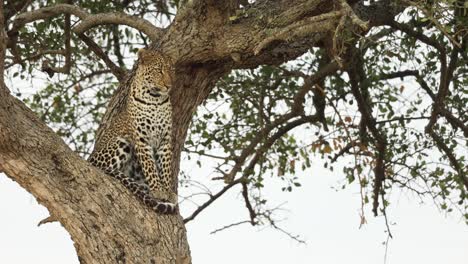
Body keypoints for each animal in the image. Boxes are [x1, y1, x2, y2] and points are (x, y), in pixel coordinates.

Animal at [88, 48, 177, 214]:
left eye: (171, 70)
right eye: (159, 70)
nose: (169, 85)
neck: (155, 100)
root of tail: (89, 159)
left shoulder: (165, 139)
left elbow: (165, 168)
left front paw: (168, 191)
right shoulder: (141, 139)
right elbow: (150, 167)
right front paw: (158, 190)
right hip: (120, 143)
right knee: (105, 169)